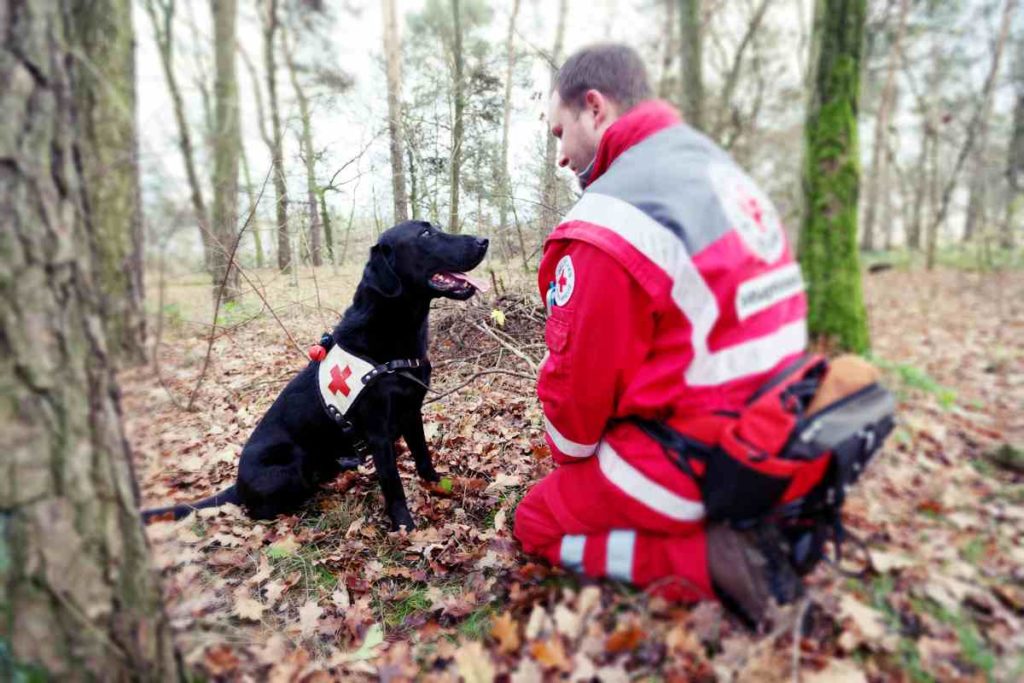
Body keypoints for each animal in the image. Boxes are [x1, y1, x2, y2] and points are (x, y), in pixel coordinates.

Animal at [143, 222, 487, 532]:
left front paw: (438, 485)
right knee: (261, 510)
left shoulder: (412, 411)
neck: (393, 337)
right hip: (291, 465)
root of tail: (237, 485)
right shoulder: (378, 431)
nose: (484, 240)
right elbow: (393, 485)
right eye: (426, 233)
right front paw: (405, 527)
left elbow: (423, 456)